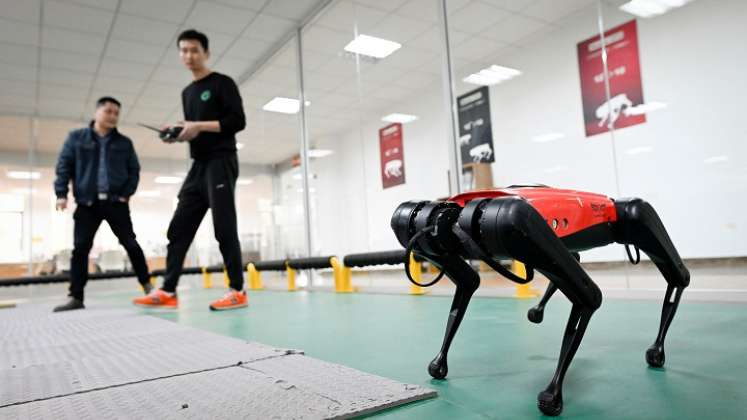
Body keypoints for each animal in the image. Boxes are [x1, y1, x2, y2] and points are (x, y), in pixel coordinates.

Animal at [392, 185, 688, 416]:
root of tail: (609, 201)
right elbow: (468, 284)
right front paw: (439, 361)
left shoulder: (523, 224)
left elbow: (590, 297)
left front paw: (553, 393)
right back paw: (537, 310)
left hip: (634, 216)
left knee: (678, 276)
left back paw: (657, 348)